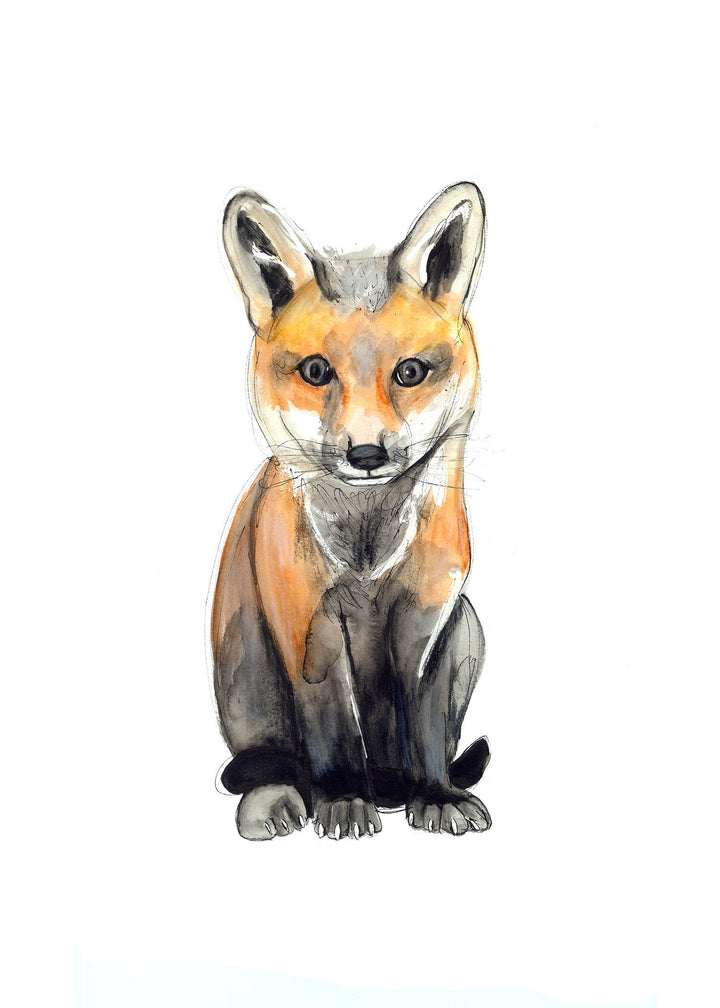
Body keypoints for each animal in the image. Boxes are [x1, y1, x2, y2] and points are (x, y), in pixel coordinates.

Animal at [210, 182, 492, 840]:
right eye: (316, 371)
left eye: (410, 372)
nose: (367, 454)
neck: (368, 555)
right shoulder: (308, 623)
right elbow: (334, 725)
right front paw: (341, 797)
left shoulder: (429, 615)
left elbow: (428, 728)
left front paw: (434, 796)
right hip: (247, 657)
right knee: (269, 760)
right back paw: (282, 799)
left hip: (470, 625)